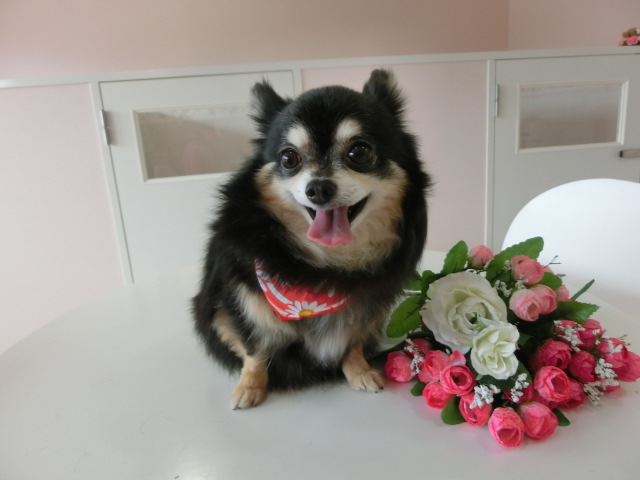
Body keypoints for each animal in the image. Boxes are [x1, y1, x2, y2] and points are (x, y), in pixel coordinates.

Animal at [192, 69, 430, 409]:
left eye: (359, 152)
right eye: (289, 158)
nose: (317, 188)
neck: (324, 269)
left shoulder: (366, 303)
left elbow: (352, 339)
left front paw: (358, 369)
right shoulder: (238, 300)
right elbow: (254, 347)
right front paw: (250, 386)